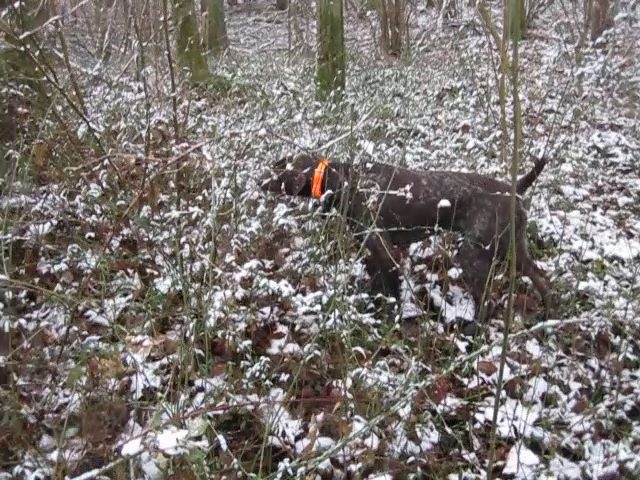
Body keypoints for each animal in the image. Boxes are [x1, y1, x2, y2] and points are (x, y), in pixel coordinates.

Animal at [262, 154, 552, 318]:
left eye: (278, 169)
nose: (259, 180)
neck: (342, 180)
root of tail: (514, 189)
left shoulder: (384, 250)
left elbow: (391, 288)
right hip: (513, 249)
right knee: (542, 280)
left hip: (472, 256)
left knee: (489, 304)